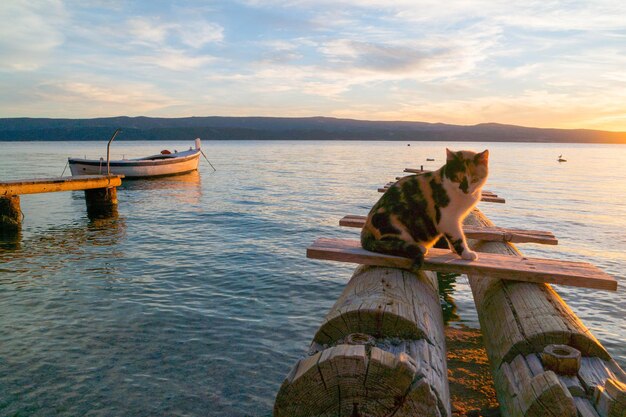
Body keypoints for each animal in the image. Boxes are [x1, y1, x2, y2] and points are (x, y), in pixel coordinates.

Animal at [360, 148, 488, 268]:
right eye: (457, 178)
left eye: (475, 179)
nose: (465, 189)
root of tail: (366, 226)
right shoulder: (447, 218)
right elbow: (458, 237)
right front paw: (466, 253)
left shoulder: (456, 219)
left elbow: (455, 234)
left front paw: (454, 250)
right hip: (392, 222)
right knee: (388, 244)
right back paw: (419, 248)